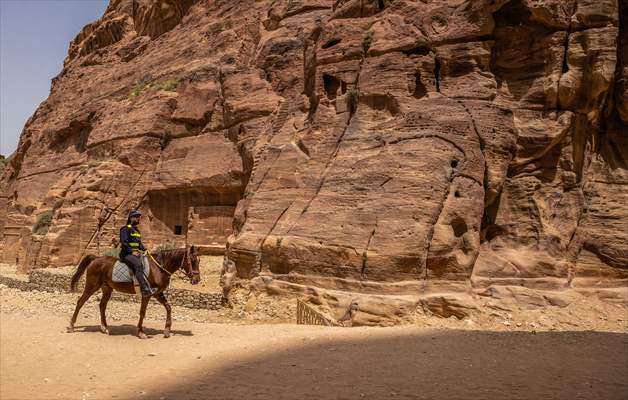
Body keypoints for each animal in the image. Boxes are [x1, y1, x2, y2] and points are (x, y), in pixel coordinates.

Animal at [66, 247, 200, 338]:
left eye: (199, 260)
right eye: (193, 260)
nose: (197, 280)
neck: (158, 268)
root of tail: (96, 258)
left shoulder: (157, 294)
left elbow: (168, 307)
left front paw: (167, 330)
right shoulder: (147, 294)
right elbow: (142, 313)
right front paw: (141, 332)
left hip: (107, 288)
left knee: (102, 305)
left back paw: (104, 328)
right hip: (91, 286)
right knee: (80, 302)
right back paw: (71, 326)